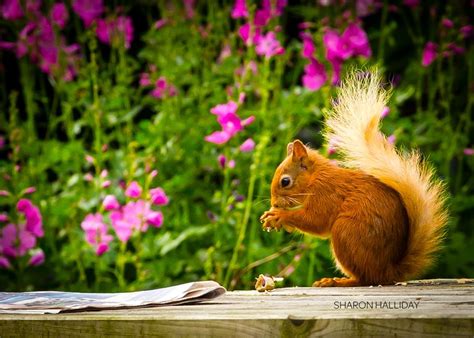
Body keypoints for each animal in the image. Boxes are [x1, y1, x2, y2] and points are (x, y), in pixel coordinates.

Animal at [260, 70, 448, 286]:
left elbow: (316, 221)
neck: (315, 178)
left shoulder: (326, 193)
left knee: (366, 278)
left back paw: (337, 281)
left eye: (285, 182)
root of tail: (389, 272)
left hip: (346, 232)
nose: (274, 202)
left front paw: (279, 216)